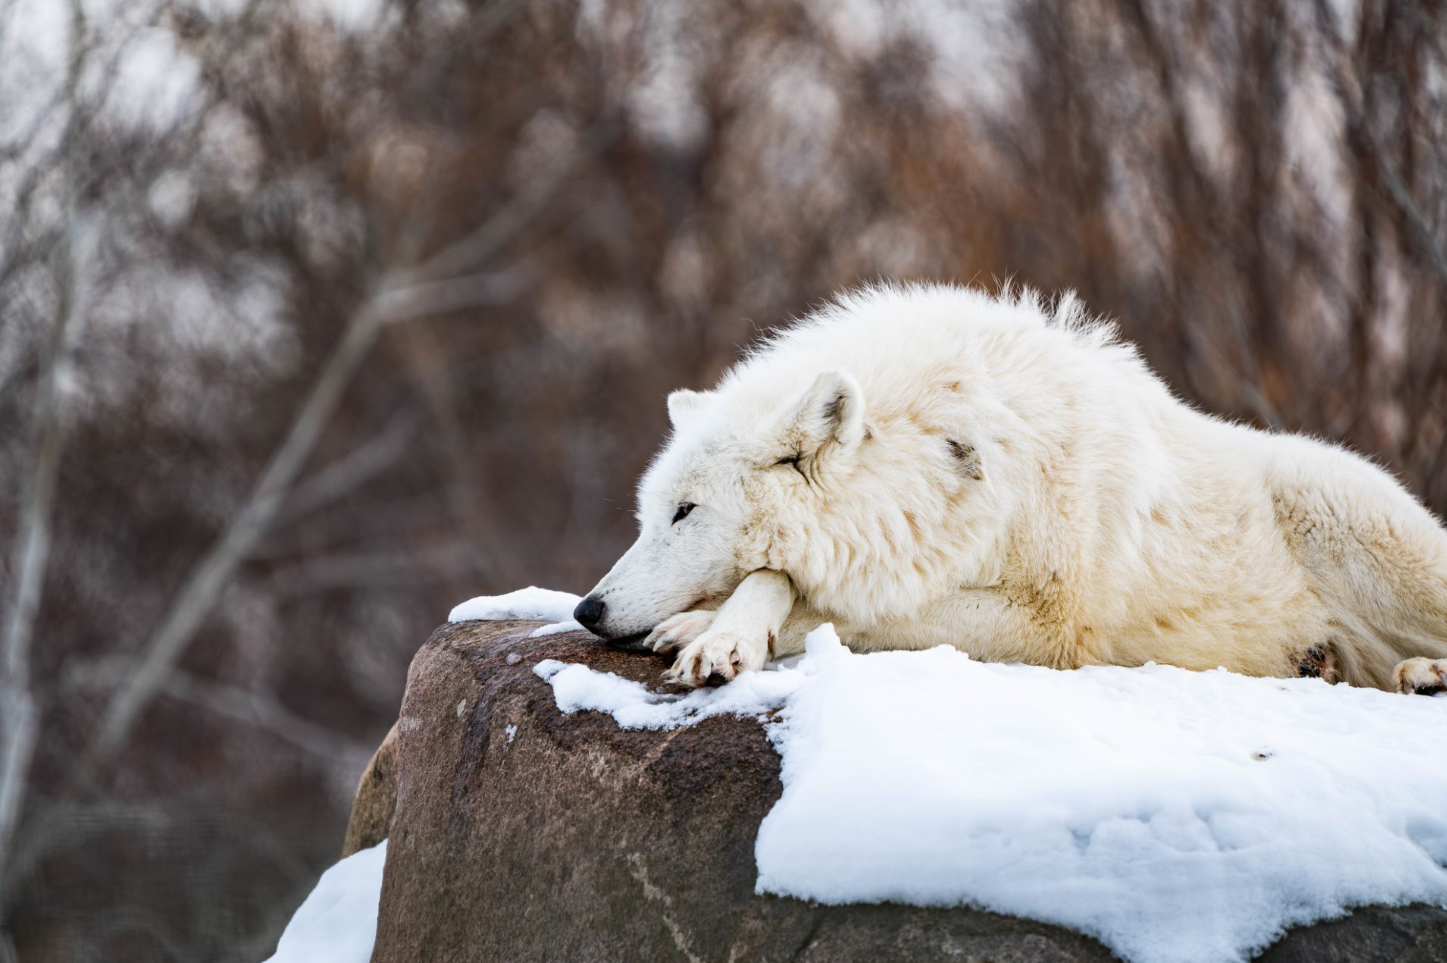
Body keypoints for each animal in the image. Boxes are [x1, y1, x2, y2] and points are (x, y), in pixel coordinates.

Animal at [573, 283, 1447, 695]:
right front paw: (719, 630)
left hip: (1341, 512)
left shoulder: (1048, 625)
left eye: (686, 513)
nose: (587, 609)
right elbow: (786, 577)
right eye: (646, 517)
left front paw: (709, 631)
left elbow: (821, 596)